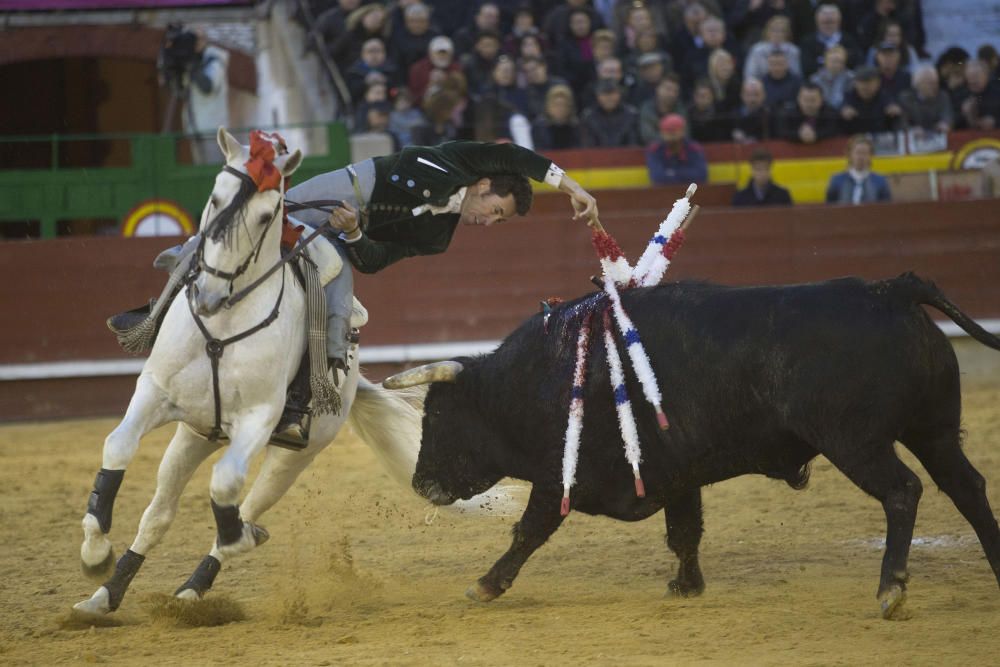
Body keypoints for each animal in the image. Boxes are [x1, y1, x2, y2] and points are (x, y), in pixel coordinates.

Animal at [74, 128, 424, 620]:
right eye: (215, 197)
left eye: (264, 215)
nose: (208, 295)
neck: (223, 325)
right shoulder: (155, 392)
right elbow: (118, 446)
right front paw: (94, 553)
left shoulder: (259, 419)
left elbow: (226, 487)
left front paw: (239, 539)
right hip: (196, 434)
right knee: (158, 515)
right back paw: (105, 595)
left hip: (296, 454)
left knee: (247, 505)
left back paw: (197, 584)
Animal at [390, 274, 1000, 620]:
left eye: (437, 415)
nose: (421, 483)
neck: (540, 378)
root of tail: (892, 290)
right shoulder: (676, 472)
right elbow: (684, 532)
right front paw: (687, 586)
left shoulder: (559, 476)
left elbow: (530, 530)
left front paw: (486, 585)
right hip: (933, 430)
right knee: (967, 487)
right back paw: (995, 566)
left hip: (857, 441)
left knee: (903, 492)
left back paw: (891, 589)